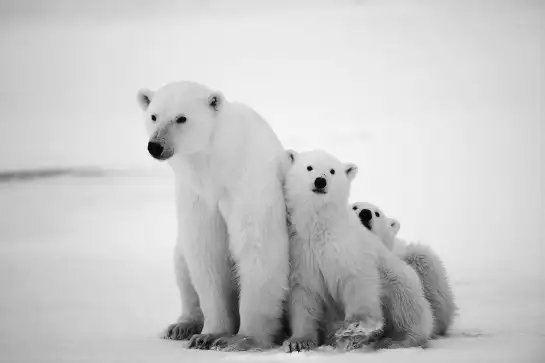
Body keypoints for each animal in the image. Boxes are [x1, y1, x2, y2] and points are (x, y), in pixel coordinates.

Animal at [136, 82, 288, 352]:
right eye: (153, 116)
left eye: (181, 118)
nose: (156, 145)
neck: (217, 165)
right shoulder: (197, 195)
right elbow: (206, 252)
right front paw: (208, 335)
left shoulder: (249, 183)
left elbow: (258, 248)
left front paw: (242, 339)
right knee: (181, 262)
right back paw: (182, 325)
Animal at [282, 151, 432, 352]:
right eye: (309, 167)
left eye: (332, 170)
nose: (320, 181)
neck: (321, 228)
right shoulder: (302, 253)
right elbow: (304, 296)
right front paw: (298, 342)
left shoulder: (349, 249)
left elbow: (358, 282)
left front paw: (354, 327)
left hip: (400, 280)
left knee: (406, 306)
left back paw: (395, 340)